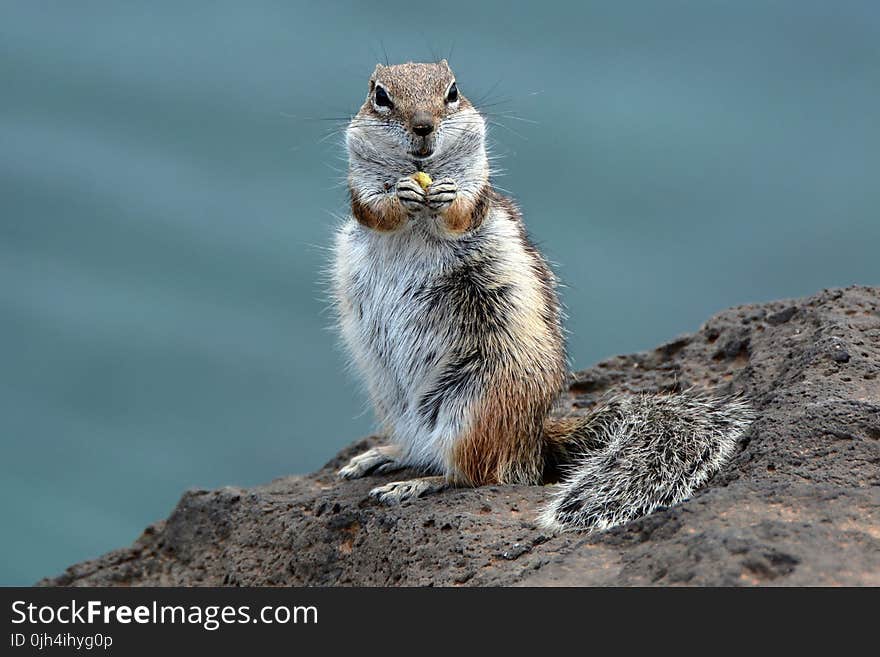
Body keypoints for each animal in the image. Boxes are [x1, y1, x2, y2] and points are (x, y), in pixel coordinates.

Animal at [332, 60, 756, 532]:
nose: (423, 126)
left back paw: (417, 484)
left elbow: (463, 211)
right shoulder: (360, 187)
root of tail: (533, 443)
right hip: (393, 401)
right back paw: (381, 457)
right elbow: (374, 209)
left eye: (453, 92)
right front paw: (399, 195)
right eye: (380, 96)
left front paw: (446, 196)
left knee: (477, 475)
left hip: (474, 407)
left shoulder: (478, 190)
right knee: (426, 452)